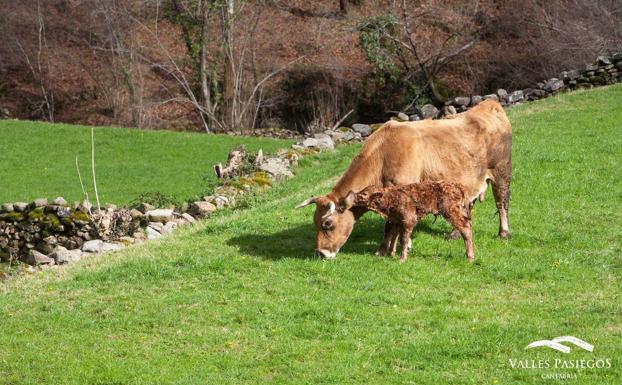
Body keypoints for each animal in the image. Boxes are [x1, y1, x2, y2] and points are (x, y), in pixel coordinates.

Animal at [346, 182, 478, 262]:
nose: (352, 194)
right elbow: (393, 237)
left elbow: (403, 239)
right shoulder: (396, 221)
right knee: (468, 225)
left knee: (465, 227)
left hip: (451, 212)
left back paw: (470, 257)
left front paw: (402, 259)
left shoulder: (409, 220)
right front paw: (391, 253)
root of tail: (457, 186)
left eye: (364, 194)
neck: (391, 198)